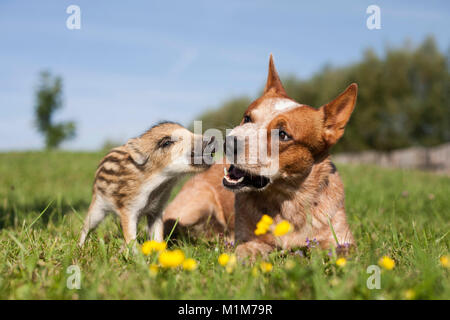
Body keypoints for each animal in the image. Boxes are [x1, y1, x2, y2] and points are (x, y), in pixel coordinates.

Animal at [79, 121, 216, 246]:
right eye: (166, 142)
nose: (212, 138)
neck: (159, 185)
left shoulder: (156, 210)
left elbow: (157, 235)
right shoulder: (128, 208)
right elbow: (130, 237)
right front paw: (137, 255)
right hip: (98, 205)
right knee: (86, 226)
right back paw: (80, 246)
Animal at [163, 55, 356, 260]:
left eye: (283, 134)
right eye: (247, 118)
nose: (228, 142)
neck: (287, 202)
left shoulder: (343, 237)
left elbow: (342, 250)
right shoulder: (248, 238)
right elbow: (247, 249)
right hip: (197, 204)